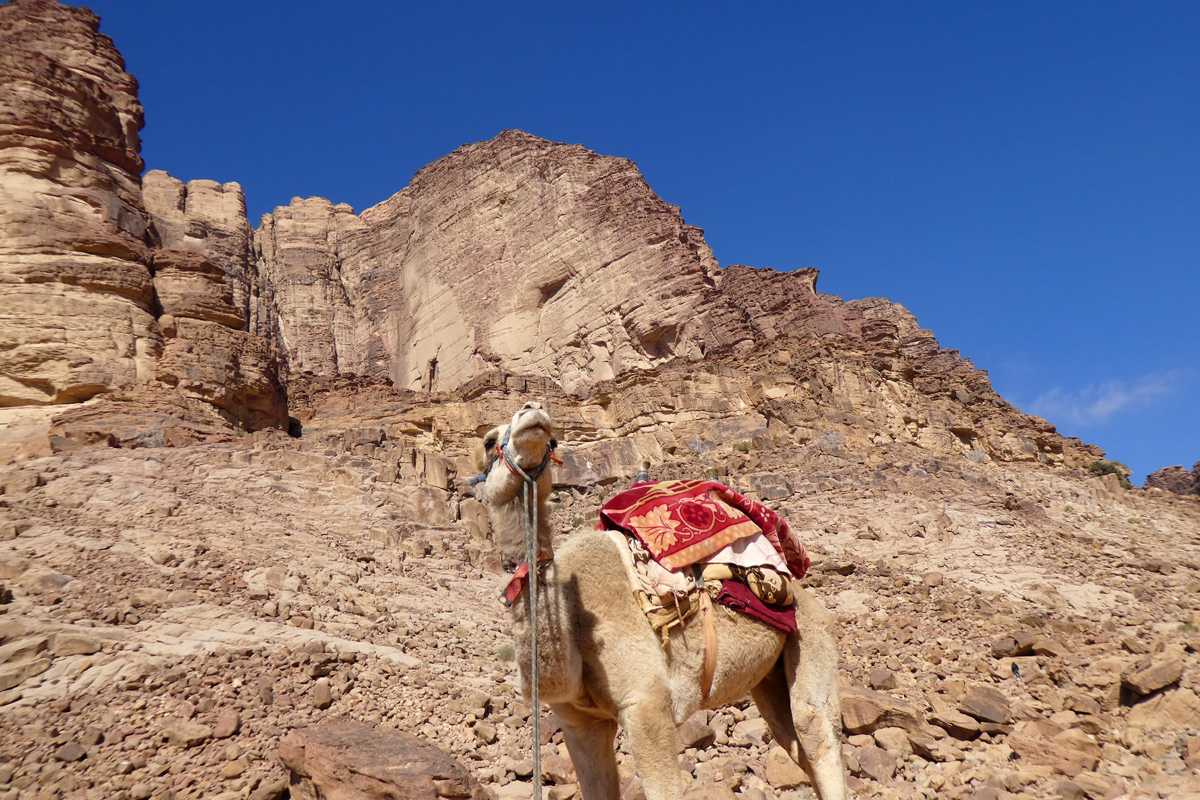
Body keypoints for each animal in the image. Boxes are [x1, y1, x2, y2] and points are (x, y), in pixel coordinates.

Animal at [472, 402, 849, 800]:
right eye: (488, 441)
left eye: (554, 439)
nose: (532, 412)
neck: (573, 621)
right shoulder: (579, 723)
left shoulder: (646, 704)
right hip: (768, 678)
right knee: (794, 741)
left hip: (811, 636)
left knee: (816, 733)